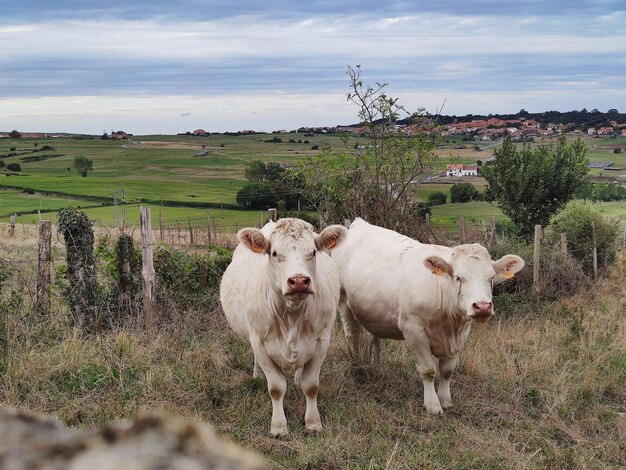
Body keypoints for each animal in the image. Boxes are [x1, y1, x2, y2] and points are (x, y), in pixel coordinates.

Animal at [219, 218, 346, 436]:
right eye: (275, 253)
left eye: (313, 252)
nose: (299, 281)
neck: (292, 317)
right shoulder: (259, 341)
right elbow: (276, 388)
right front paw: (278, 426)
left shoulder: (322, 340)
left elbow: (311, 385)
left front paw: (313, 422)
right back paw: (257, 375)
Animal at [332, 218, 520, 414]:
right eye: (458, 278)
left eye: (491, 278)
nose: (482, 306)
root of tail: (359, 223)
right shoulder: (414, 331)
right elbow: (428, 370)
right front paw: (432, 405)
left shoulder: (461, 334)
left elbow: (447, 370)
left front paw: (445, 399)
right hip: (343, 300)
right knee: (352, 333)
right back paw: (357, 363)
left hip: (375, 312)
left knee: (376, 339)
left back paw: (377, 368)